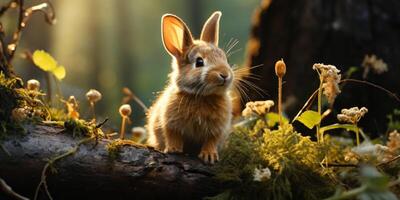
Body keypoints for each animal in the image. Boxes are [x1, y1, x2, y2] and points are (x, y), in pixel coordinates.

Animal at [146, 11, 234, 164]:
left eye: (225, 59)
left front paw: (209, 156)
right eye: (199, 62)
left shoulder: (217, 129)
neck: (201, 96)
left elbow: (211, 141)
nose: (225, 75)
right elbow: (172, 135)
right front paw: (173, 149)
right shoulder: (170, 123)